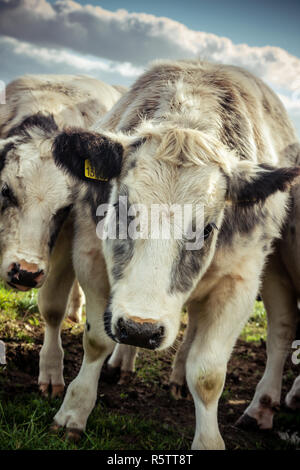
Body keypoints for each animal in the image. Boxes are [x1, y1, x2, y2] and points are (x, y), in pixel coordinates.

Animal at [0, 73, 123, 396]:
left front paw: (52, 370)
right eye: (5, 190)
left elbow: (52, 306)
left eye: (65, 207)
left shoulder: (68, 240)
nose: (26, 272)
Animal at [52, 60, 300, 450]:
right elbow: (96, 339)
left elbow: (209, 374)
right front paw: (74, 410)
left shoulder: (240, 283)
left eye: (207, 228)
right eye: (122, 212)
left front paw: (209, 440)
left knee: (276, 331)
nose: (140, 330)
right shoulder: (89, 255)